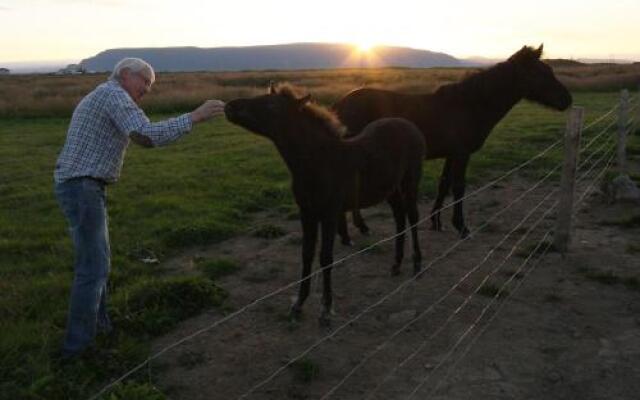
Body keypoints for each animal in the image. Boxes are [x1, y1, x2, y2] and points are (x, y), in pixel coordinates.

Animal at [225, 84, 424, 324]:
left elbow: (325, 257)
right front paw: (298, 305)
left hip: (410, 182)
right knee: (399, 217)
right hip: (390, 189)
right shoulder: (307, 213)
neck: (320, 162)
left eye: (272, 105)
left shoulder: (330, 213)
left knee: (412, 216)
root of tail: (410, 127)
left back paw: (417, 263)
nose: (229, 106)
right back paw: (396, 264)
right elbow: (306, 254)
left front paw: (326, 308)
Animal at [332, 43, 572, 241]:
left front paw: (436, 222)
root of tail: (341, 105)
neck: (470, 105)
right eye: (541, 73)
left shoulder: (451, 154)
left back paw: (358, 228)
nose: (567, 100)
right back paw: (351, 232)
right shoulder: (461, 154)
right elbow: (458, 188)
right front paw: (462, 227)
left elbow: (444, 185)